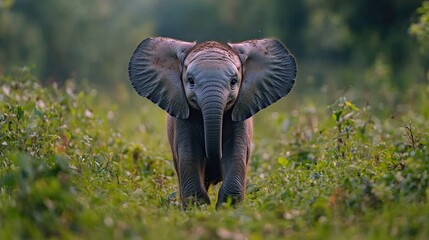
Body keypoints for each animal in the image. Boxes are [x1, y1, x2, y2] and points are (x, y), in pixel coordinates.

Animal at [127, 37, 294, 208]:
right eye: (190, 81)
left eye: (234, 82)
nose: (213, 163)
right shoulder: (181, 118)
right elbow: (189, 154)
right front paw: (197, 208)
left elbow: (236, 152)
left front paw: (229, 208)